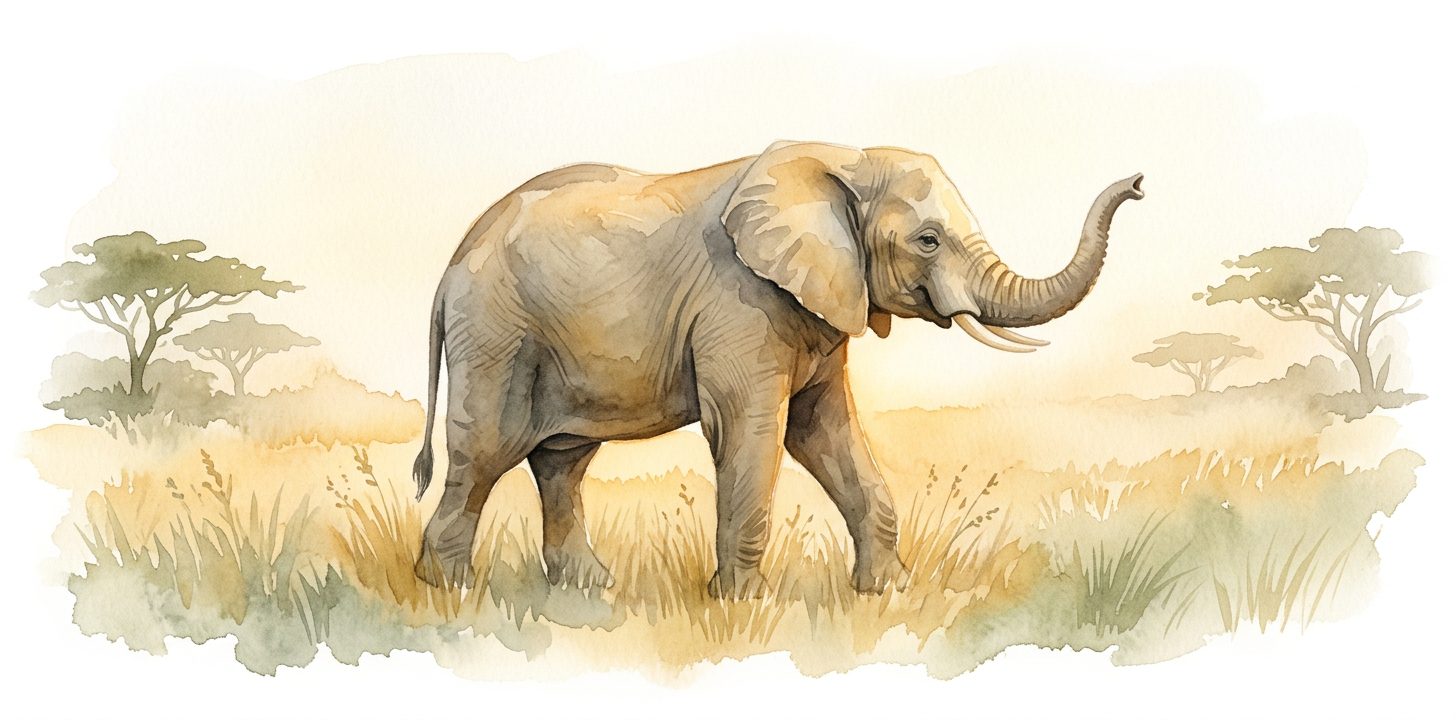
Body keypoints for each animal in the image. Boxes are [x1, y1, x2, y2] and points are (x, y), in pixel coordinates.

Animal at [411, 140, 1144, 597]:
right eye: (929, 241)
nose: (1138, 184)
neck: (841, 160)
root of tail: (447, 271)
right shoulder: (738, 302)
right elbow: (753, 430)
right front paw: (744, 605)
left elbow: (824, 430)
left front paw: (886, 594)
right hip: (498, 335)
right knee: (484, 454)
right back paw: (448, 591)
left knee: (562, 459)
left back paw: (587, 589)